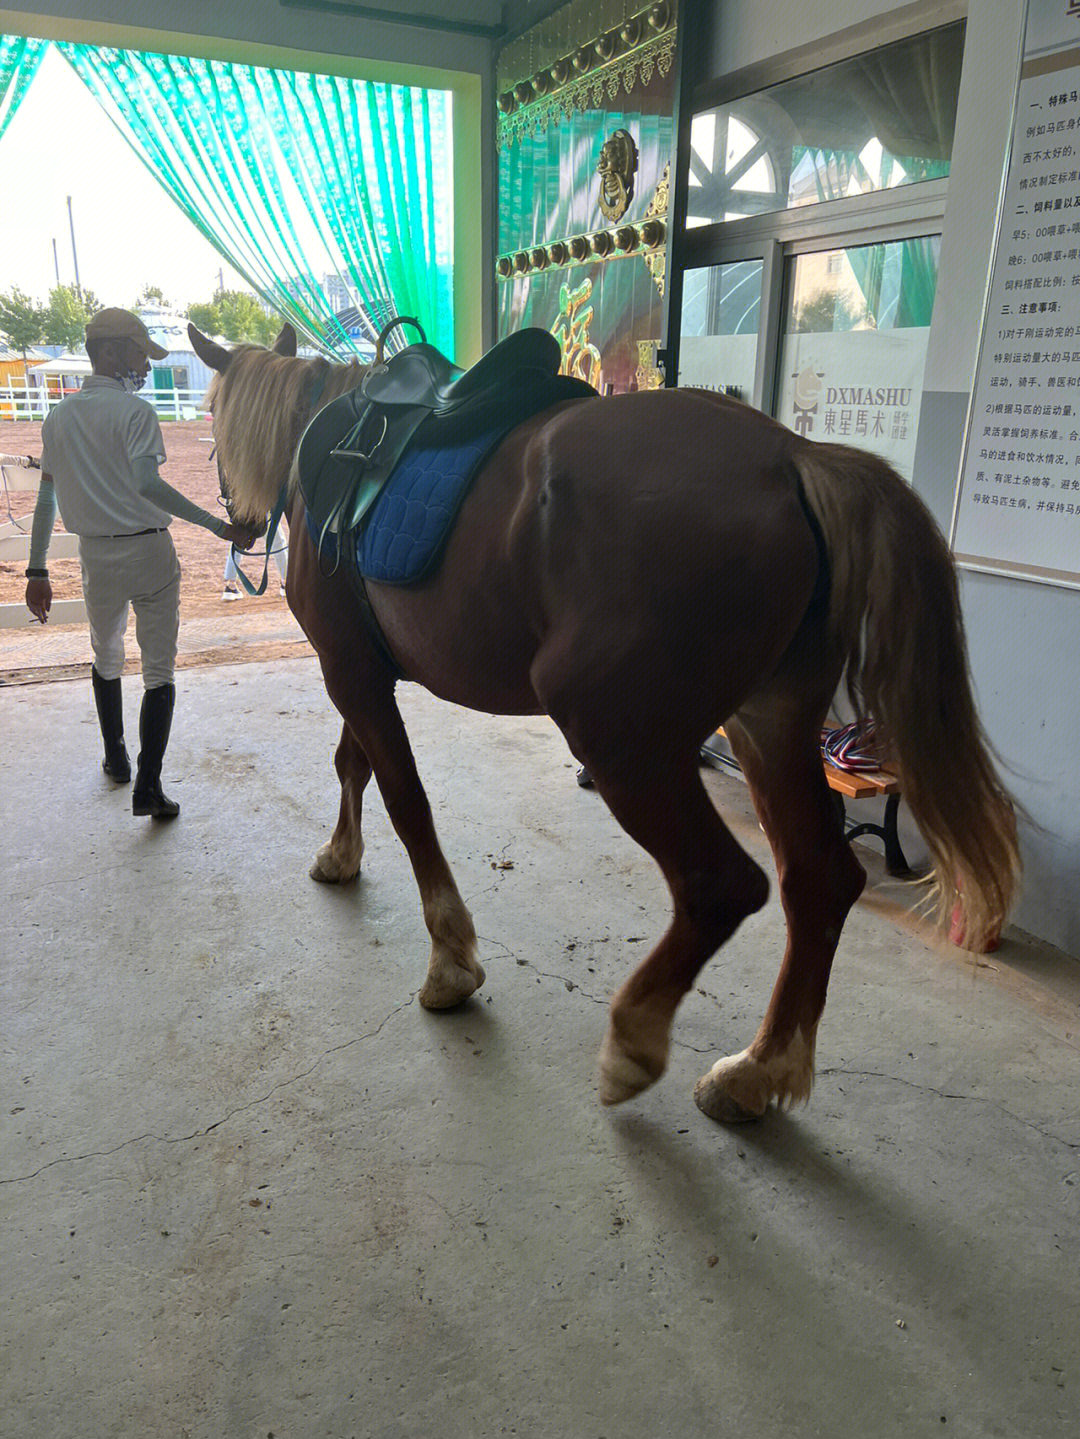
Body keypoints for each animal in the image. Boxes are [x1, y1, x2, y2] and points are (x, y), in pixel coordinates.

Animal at [189, 323, 1018, 1122]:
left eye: (210, 427)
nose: (238, 527)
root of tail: (792, 456)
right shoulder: (358, 668)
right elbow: (353, 764)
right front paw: (339, 855)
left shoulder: (349, 670)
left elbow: (404, 799)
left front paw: (450, 960)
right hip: (770, 723)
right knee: (818, 879)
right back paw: (756, 1071)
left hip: (619, 738)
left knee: (721, 884)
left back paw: (635, 1041)